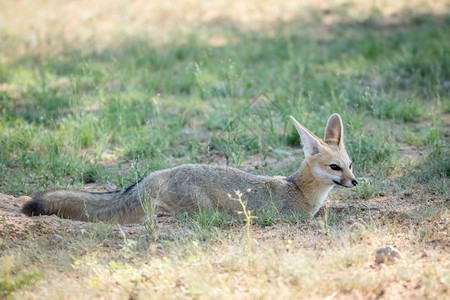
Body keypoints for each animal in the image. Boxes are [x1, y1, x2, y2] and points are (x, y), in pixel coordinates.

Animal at [22, 113, 358, 224]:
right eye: (334, 167)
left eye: (350, 165)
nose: (355, 182)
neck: (299, 189)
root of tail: (162, 172)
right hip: (204, 211)